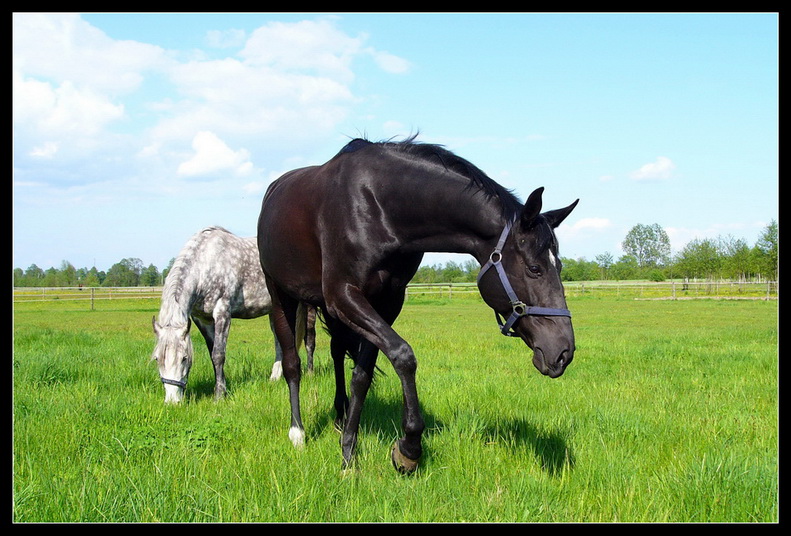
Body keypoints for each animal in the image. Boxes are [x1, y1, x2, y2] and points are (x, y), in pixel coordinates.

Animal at [256, 138, 580, 474]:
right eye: (534, 268)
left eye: (559, 265)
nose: (562, 352)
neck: (379, 207)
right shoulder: (343, 295)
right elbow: (403, 356)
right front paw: (408, 449)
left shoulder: (386, 302)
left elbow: (362, 376)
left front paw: (348, 453)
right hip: (281, 296)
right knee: (292, 364)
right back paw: (298, 432)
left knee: (336, 352)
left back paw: (339, 415)